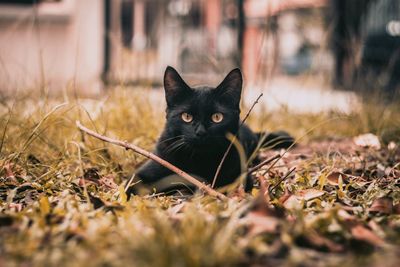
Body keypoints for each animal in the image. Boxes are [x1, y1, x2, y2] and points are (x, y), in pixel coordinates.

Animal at [133, 66, 292, 194]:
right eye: (186, 116)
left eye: (217, 117)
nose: (201, 132)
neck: (199, 160)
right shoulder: (151, 167)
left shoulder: (241, 176)